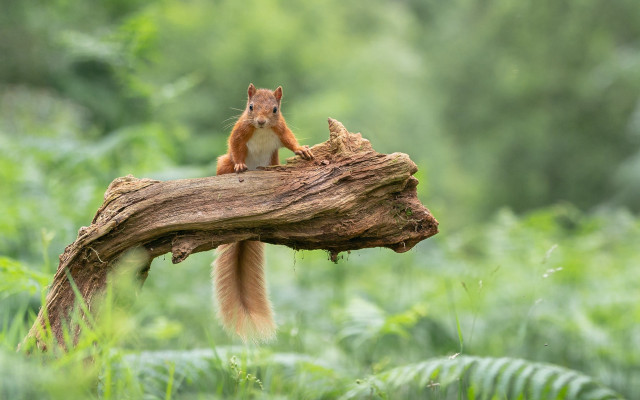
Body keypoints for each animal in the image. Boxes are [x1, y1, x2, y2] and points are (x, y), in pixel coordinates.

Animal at [213, 83, 313, 342]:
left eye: (275, 109)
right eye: (250, 107)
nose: (259, 121)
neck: (262, 130)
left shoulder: (281, 129)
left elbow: (291, 141)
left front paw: (303, 150)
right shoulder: (240, 131)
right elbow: (235, 146)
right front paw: (240, 165)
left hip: (273, 160)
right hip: (222, 162)